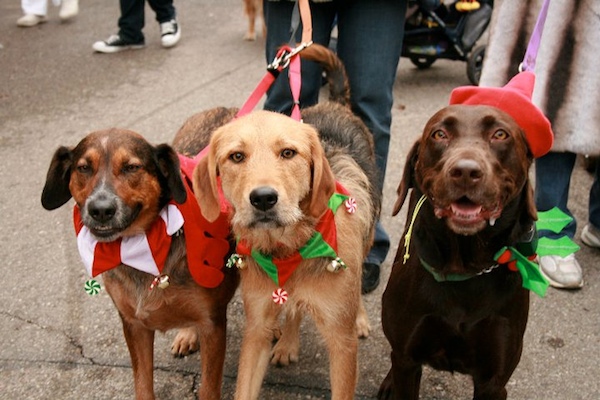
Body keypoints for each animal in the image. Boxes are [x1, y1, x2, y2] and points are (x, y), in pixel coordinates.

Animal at [39, 130, 239, 398]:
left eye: (131, 167)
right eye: (83, 168)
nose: (100, 210)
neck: (140, 248)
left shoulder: (213, 325)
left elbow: (208, 388)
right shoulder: (134, 325)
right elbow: (142, 383)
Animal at [378, 104, 536, 398]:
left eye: (500, 134)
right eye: (440, 134)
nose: (465, 172)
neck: (464, 265)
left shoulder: (493, 381)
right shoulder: (407, 359)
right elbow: (402, 366)